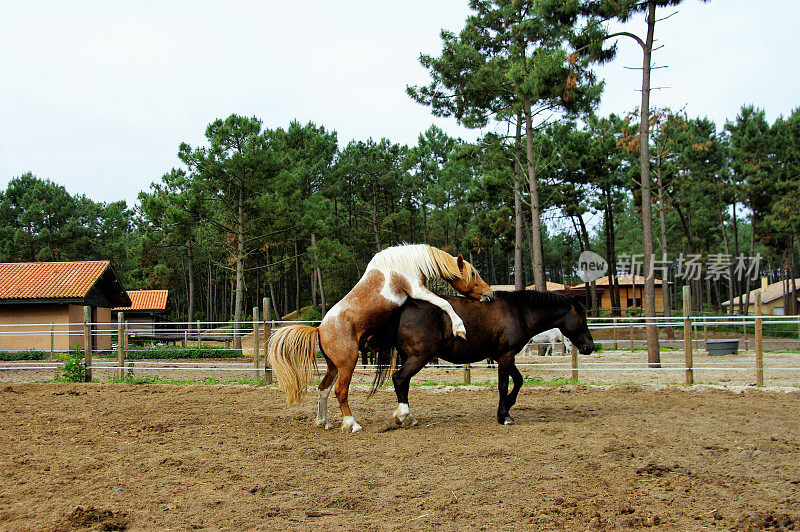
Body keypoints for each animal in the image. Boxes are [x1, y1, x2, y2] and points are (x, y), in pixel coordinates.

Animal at [268, 244, 494, 432]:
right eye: (473, 273)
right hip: (347, 364)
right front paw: (460, 328)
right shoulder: (417, 290)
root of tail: (319, 330)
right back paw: (351, 424)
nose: (490, 294)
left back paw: (323, 422)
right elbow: (444, 303)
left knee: (323, 389)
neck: (408, 262)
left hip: (333, 366)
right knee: (340, 391)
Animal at [368, 288, 592, 426]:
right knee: (400, 379)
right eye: (582, 317)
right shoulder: (506, 356)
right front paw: (504, 416)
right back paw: (404, 416)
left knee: (402, 382)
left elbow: (518, 381)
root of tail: (404, 308)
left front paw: (508, 406)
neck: (518, 312)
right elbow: (504, 385)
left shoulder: (503, 356)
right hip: (419, 357)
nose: (589, 346)